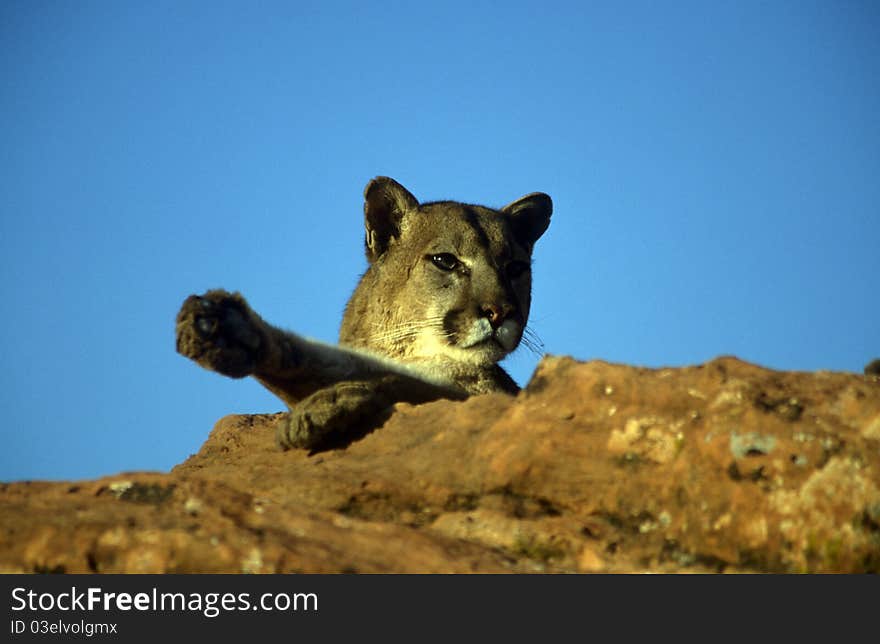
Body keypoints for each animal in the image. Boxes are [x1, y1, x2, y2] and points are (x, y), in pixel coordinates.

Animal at [174, 176, 552, 448]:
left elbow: (410, 384)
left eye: (516, 268)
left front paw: (327, 403)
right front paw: (229, 330)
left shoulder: (490, 395)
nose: (500, 312)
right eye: (445, 261)